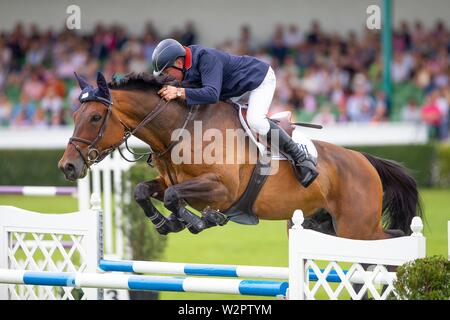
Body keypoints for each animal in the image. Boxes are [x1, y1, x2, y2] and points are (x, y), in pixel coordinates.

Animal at [59, 72, 422, 241]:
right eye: (74, 115)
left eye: (95, 117)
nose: (68, 166)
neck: (180, 128)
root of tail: (365, 161)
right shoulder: (167, 180)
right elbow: (143, 191)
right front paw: (166, 222)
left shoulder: (223, 190)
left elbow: (176, 196)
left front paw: (198, 220)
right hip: (324, 224)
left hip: (356, 227)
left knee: (390, 242)